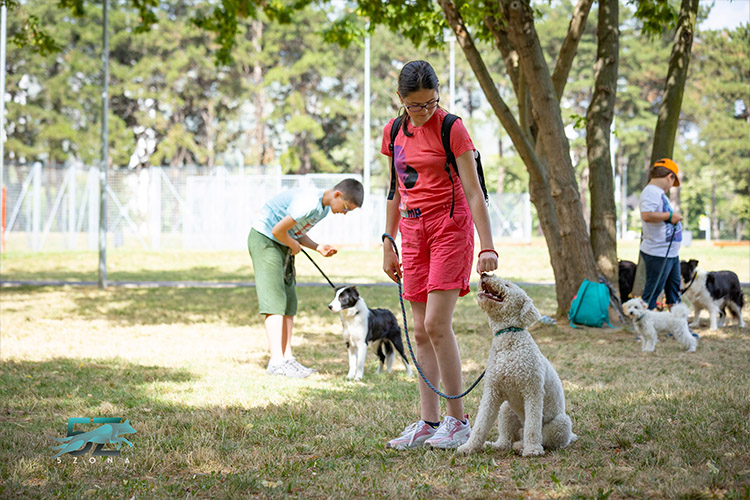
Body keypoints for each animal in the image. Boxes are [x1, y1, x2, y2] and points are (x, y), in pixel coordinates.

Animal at [456, 274, 580, 458]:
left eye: (508, 285)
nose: (485, 274)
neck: (509, 336)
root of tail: (570, 436)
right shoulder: (492, 393)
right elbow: (480, 424)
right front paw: (469, 447)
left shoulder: (532, 392)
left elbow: (533, 427)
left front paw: (532, 450)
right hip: (506, 410)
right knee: (505, 441)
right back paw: (495, 445)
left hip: (560, 424)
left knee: (542, 438)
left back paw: (522, 446)